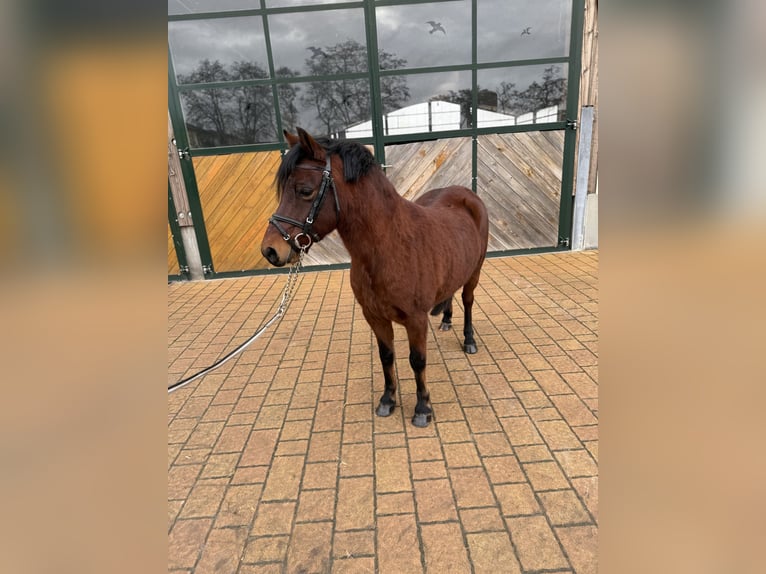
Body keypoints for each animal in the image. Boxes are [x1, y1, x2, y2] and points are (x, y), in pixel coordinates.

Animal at [260, 130, 488, 428]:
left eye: (305, 190)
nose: (270, 250)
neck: (390, 245)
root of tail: (467, 194)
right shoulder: (374, 317)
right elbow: (386, 357)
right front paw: (388, 400)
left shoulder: (416, 320)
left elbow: (417, 361)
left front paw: (422, 408)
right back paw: (447, 320)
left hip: (475, 272)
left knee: (468, 300)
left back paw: (469, 340)